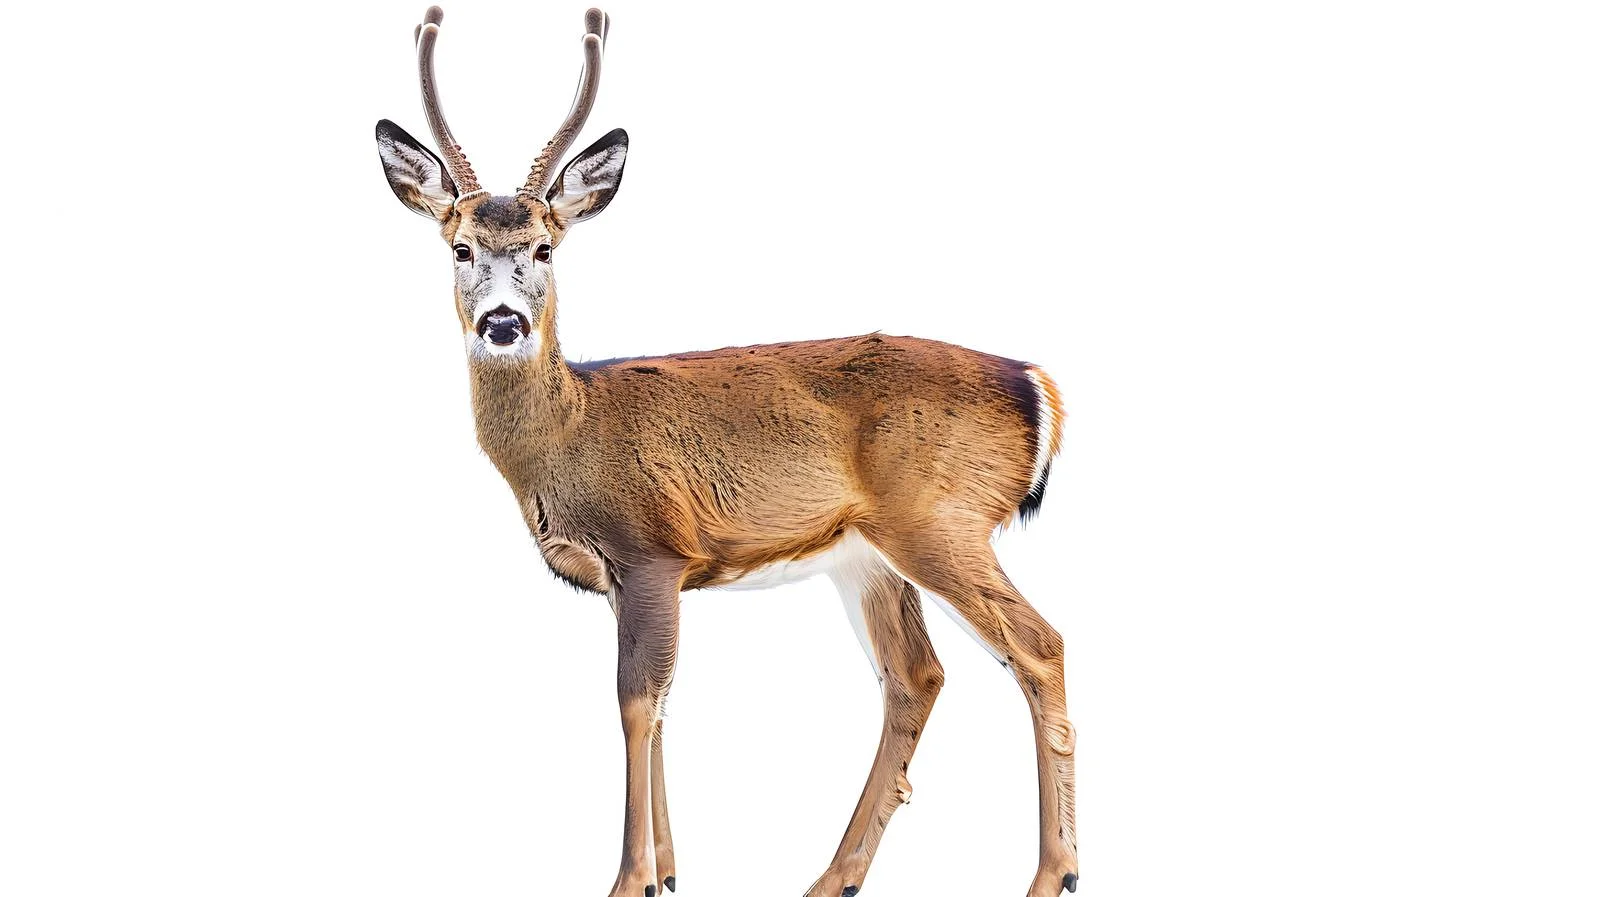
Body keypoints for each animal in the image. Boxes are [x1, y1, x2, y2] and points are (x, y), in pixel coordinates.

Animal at [373, 7, 1076, 897]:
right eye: (460, 247)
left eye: (544, 248)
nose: (503, 322)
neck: (571, 434)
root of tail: (1038, 383)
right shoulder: (628, 576)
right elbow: (661, 702)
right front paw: (670, 871)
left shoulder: (651, 547)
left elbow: (636, 703)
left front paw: (630, 878)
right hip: (868, 555)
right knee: (915, 676)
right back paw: (833, 875)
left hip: (941, 518)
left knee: (1038, 645)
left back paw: (1053, 872)